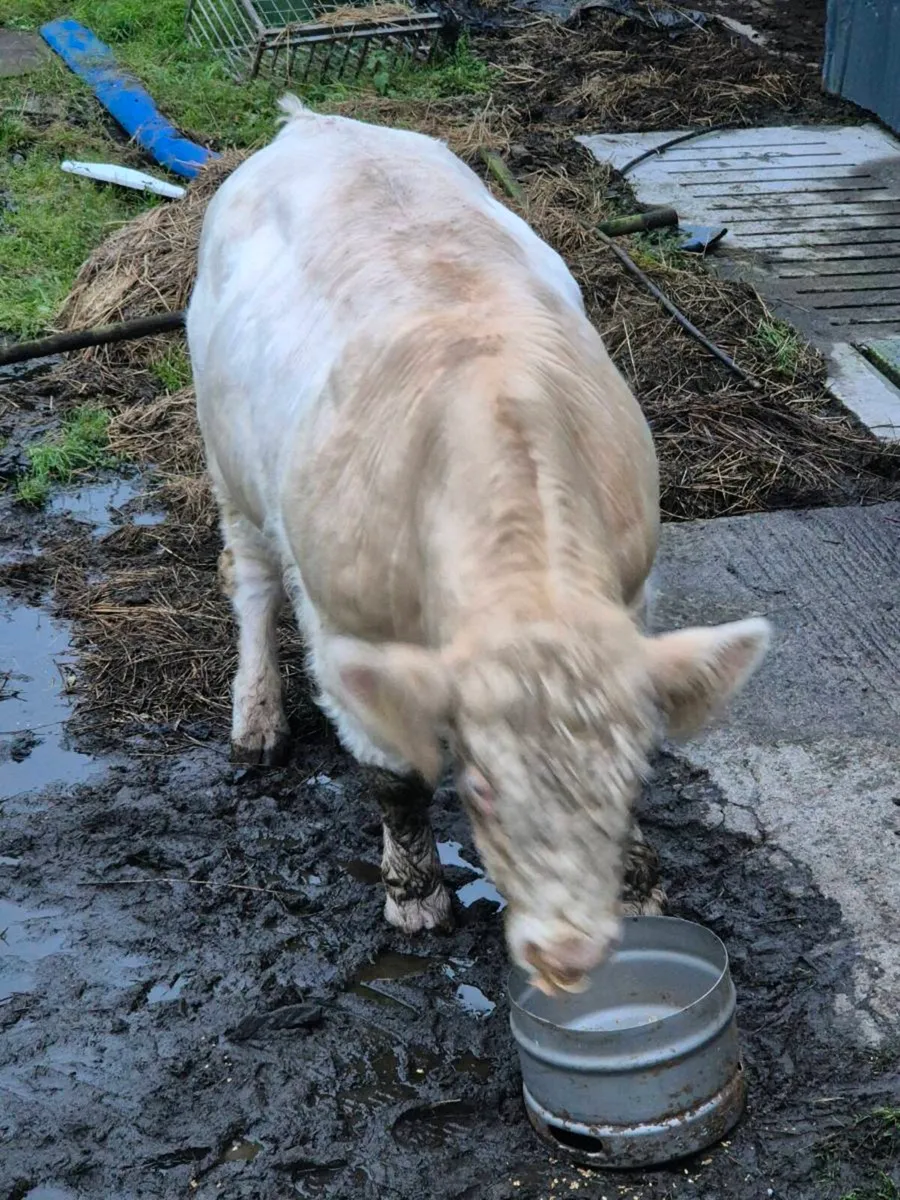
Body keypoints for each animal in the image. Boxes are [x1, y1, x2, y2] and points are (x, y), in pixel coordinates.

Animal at [186, 96, 771, 996]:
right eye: (485, 790)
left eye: (631, 778)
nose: (569, 957)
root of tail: (314, 121)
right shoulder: (346, 623)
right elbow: (393, 777)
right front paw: (415, 894)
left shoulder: (631, 594)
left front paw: (639, 886)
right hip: (227, 459)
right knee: (248, 578)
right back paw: (257, 714)